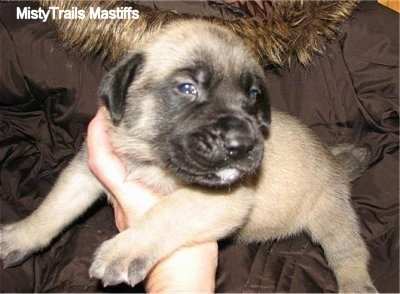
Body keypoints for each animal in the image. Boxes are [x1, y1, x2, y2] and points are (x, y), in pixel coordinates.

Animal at [0, 20, 376, 292]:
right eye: (187, 88)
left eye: (254, 95)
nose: (242, 143)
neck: (150, 157)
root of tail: (337, 162)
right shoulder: (85, 170)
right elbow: (55, 208)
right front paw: (19, 237)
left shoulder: (221, 199)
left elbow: (167, 212)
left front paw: (126, 249)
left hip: (332, 217)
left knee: (350, 255)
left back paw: (357, 285)